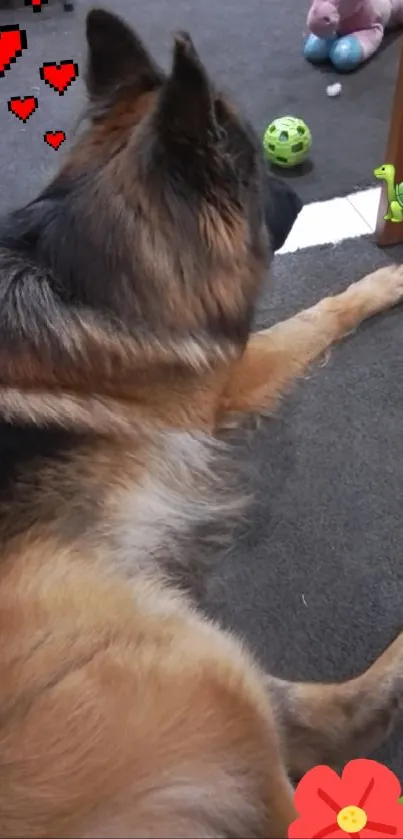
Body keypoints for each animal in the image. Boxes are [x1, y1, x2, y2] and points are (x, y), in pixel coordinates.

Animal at [2, 8, 403, 839]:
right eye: (249, 171)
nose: (296, 196)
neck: (74, 264)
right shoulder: (223, 380)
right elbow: (319, 313)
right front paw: (382, 282)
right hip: (188, 663)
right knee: (332, 728)